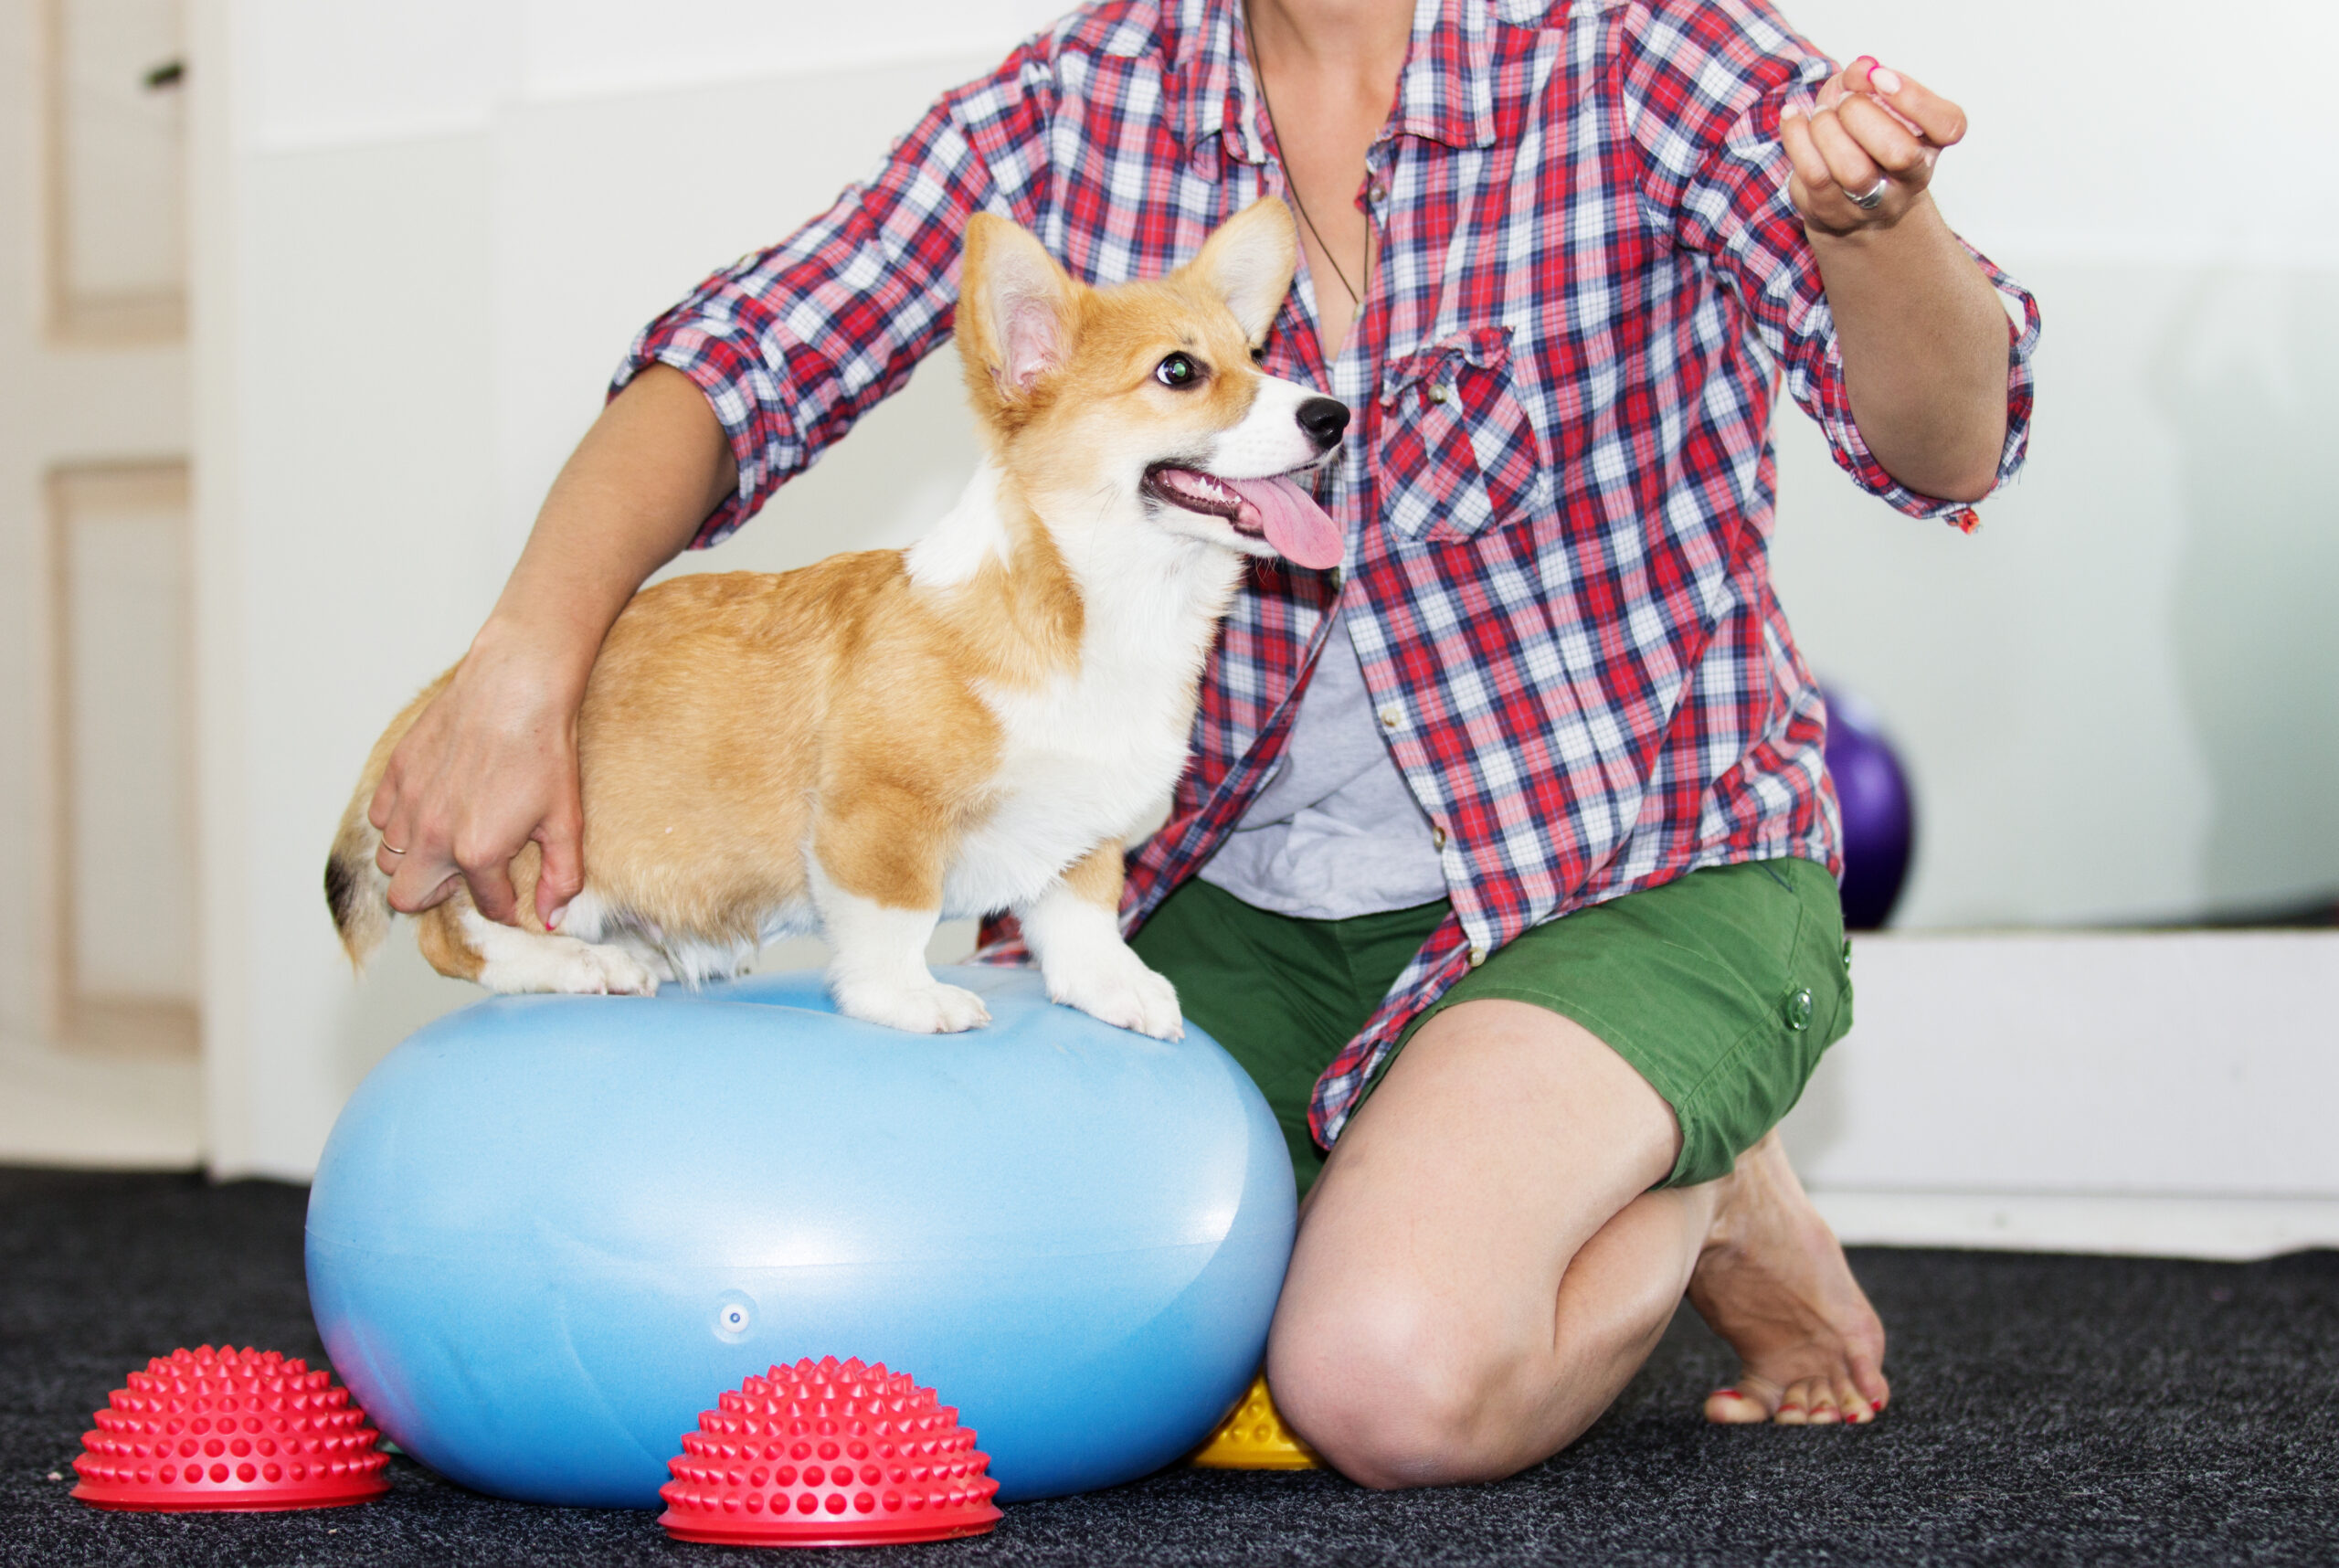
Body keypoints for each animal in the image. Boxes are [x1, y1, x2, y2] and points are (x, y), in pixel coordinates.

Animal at [332, 206, 1356, 1044]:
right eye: (1179, 372)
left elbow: (1082, 917)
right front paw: (909, 1001)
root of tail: (436, 696)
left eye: (1255, 356)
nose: (1334, 414)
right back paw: (585, 964)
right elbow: (896, 920)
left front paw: (1119, 989)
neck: (1100, 606)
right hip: (532, 865)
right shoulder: (878, 816)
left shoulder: (1080, 832)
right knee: (456, 938)